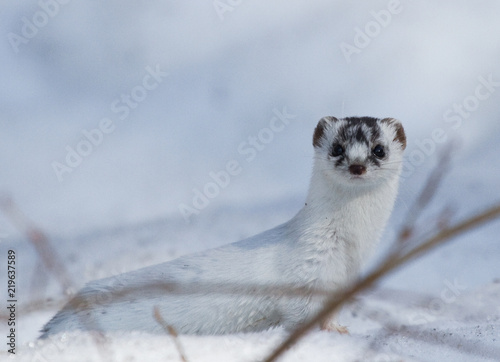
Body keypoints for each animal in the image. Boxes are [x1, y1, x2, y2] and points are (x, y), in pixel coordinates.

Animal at [40, 115, 406, 336]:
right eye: (337, 147)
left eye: (379, 149)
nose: (357, 166)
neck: (349, 249)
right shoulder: (303, 281)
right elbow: (299, 316)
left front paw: (339, 330)